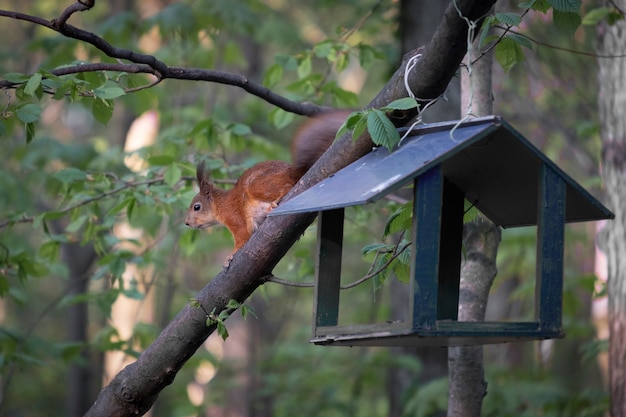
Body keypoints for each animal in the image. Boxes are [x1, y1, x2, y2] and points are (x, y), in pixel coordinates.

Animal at [184, 110, 352, 264]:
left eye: (197, 207)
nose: (186, 223)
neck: (219, 204)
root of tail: (291, 171)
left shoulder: (234, 217)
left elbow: (242, 237)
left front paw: (230, 255)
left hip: (257, 185)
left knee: (286, 186)